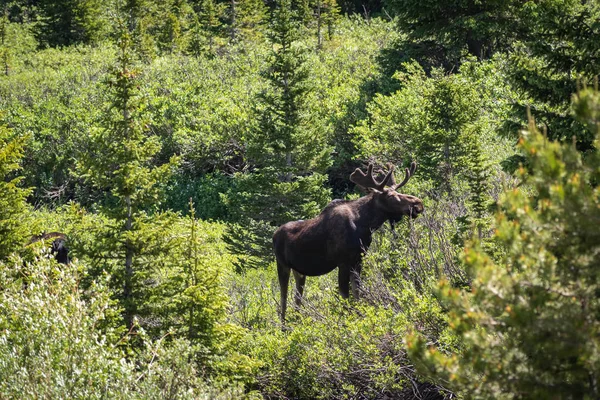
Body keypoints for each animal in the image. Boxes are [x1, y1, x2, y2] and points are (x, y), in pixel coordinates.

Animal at [272, 161, 422, 320]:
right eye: (392, 196)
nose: (418, 204)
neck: (365, 225)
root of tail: (274, 235)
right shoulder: (343, 262)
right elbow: (345, 295)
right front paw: (346, 320)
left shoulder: (358, 260)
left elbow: (358, 292)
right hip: (282, 264)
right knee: (283, 298)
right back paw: (283, 324)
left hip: (299, 271)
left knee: (297, 297)